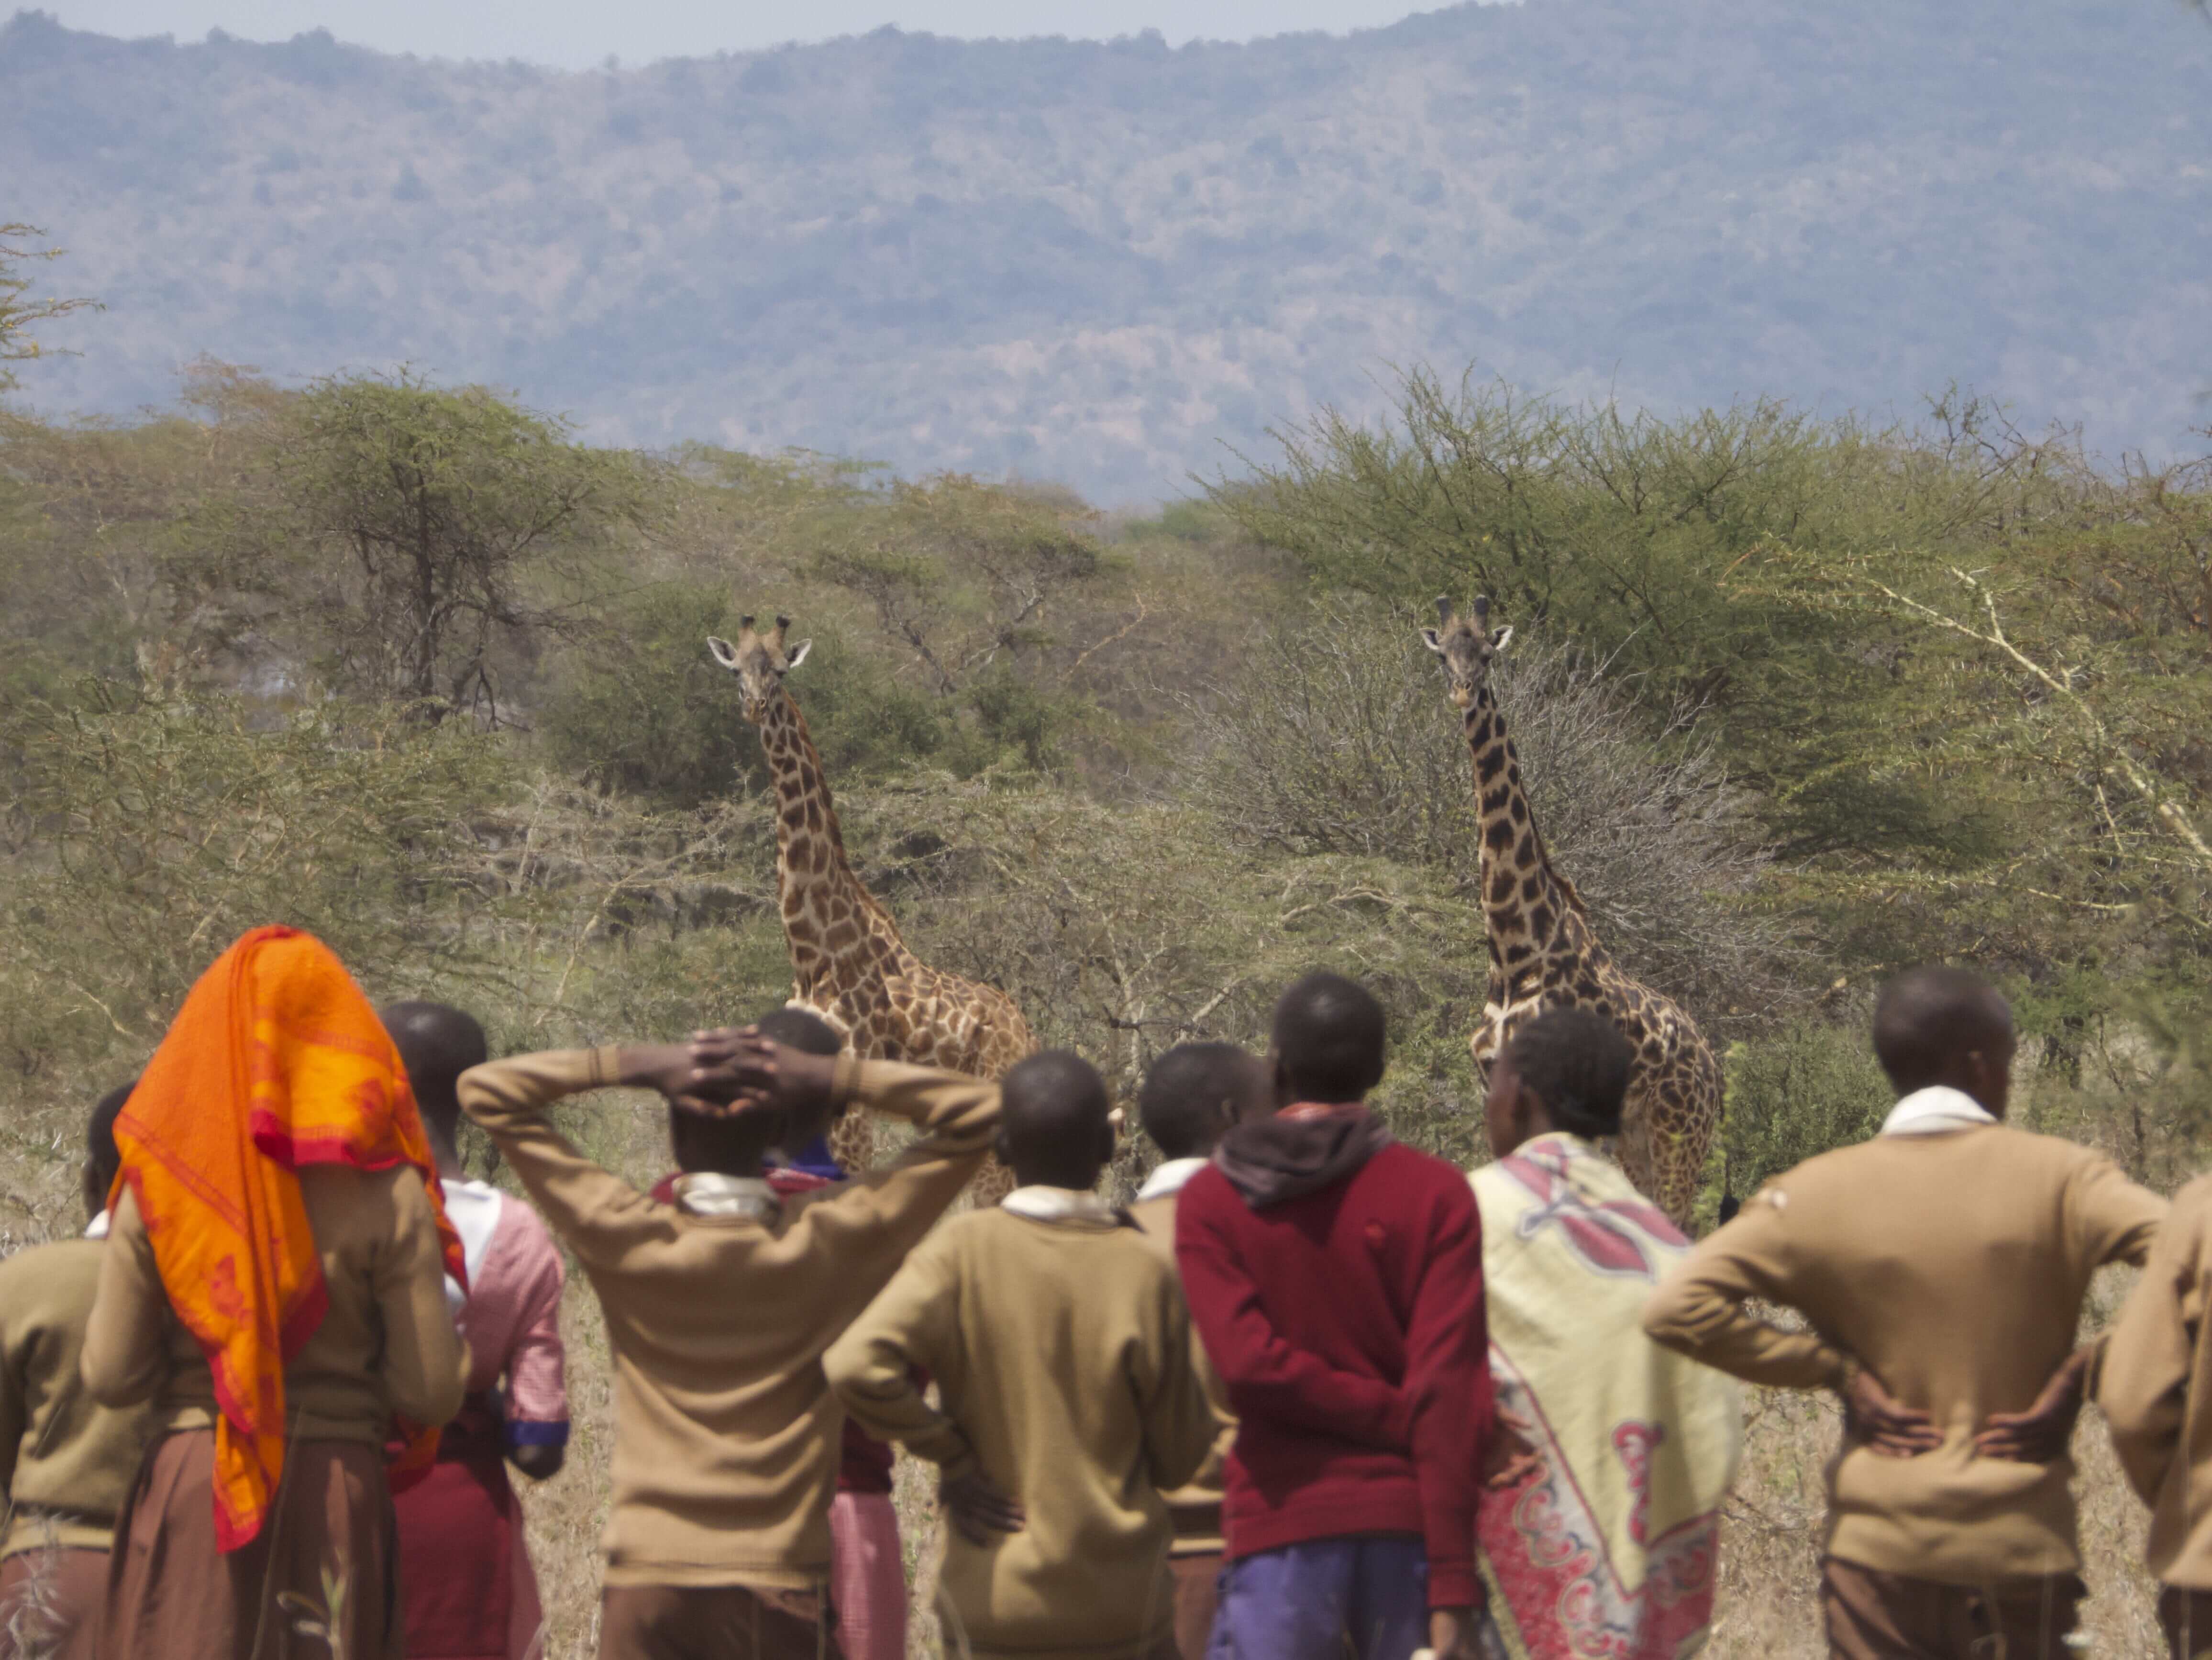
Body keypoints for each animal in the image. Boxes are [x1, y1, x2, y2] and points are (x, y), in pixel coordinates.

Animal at [708, 610, 1035, 1195]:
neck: (813, 953)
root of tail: (1026, 1030)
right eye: (735, 671)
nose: (755, 707)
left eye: (782, 673)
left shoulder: (851, 1101)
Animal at [1416, 593, 1725, 1221]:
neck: (1514, 951)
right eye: (1443, 656)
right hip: (1635, 1138)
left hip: (1681, 1132)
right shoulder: (1491, 1087)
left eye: (1487, 655)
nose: (1462, 691)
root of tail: (1711, 1064)